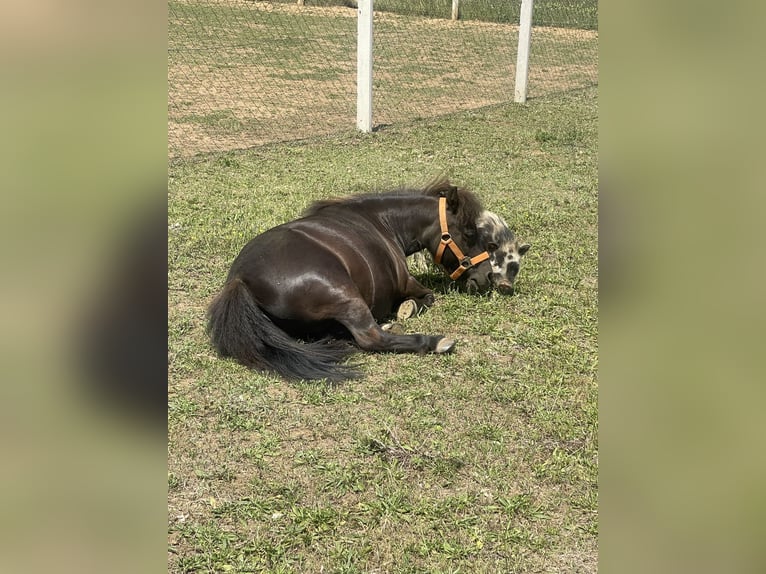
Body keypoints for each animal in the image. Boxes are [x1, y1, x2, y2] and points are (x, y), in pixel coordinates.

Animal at [207, 178, 495, 382]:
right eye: (469, 232)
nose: (488, 276)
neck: (384, 223)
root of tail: (239, 281)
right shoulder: (408, 283)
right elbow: (427, 298)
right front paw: (407, 309)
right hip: (347, 298)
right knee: (370, 338)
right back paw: (435, 342)